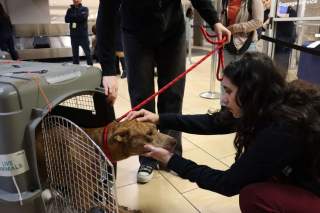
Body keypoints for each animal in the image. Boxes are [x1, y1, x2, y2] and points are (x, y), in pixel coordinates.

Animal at [36, 120, 176, 213]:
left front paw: (122, 206)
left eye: (156, 129)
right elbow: (111, 207)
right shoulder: (82, 202)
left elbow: (111, 198)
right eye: (149, 133)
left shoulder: (94, 183)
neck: (96, 144)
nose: (174, 141)